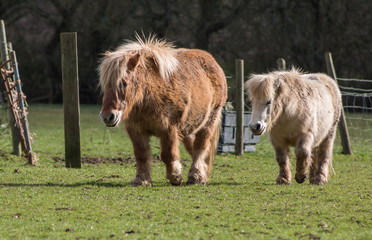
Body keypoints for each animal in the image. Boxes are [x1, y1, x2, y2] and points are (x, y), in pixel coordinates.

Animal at [98, 35, 227, 187]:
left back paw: (195, 177)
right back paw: (202, 174)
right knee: (193, 148)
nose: (108, 116)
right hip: (189, 127)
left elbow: (168, 154)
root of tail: (212, 61)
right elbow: (141, 154)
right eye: (105, 84)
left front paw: (175, 177)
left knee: (201, 147)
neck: (148, 97)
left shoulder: (169, 129)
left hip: (209, 121)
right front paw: (141, 180)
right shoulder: (136, 130)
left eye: (124, 83)